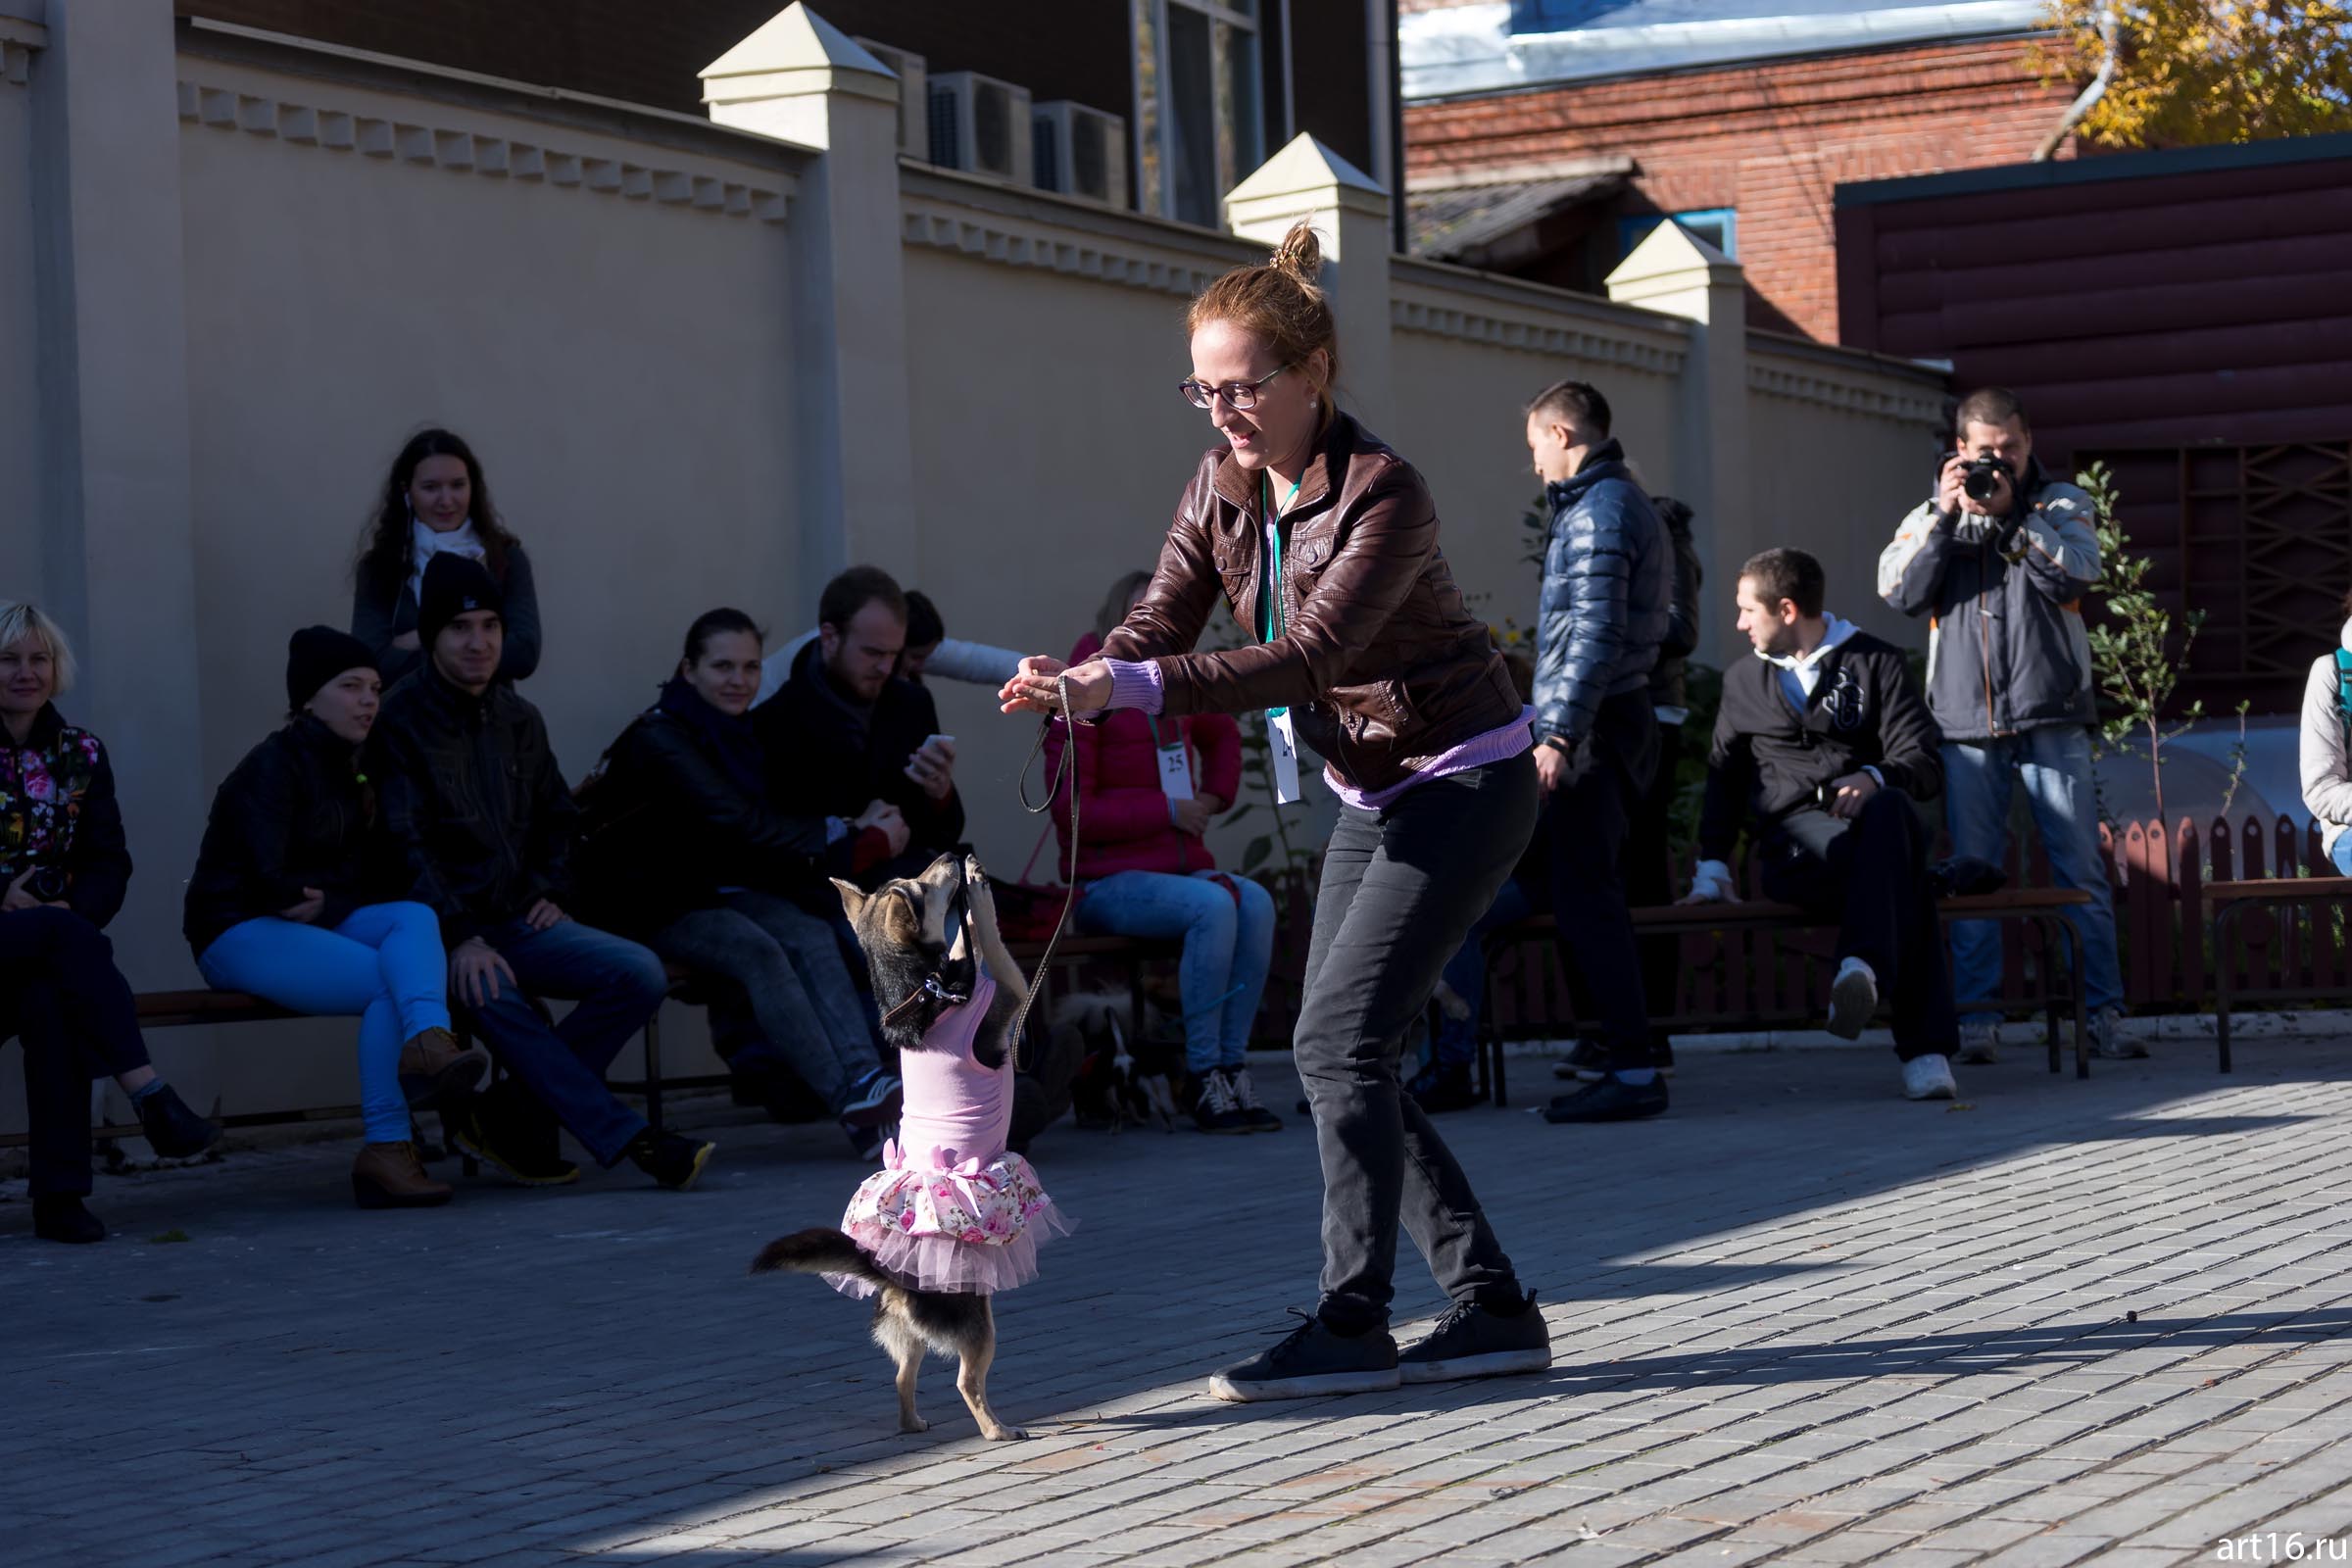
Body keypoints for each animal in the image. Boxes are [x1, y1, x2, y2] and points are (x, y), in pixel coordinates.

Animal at [748, 859, 1072, 1447]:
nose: (948, 855)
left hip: (912, 1335)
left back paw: (913, 1423)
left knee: (902, 1376)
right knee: (968, 1381)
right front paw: (980, 901)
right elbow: (991, 945)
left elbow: (968, 946)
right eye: (922, 885)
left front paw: (971, 902)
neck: (921, 993)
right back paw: (997, 1429)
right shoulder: (1011, 992)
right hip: (979, 1324)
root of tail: (890, 1275)